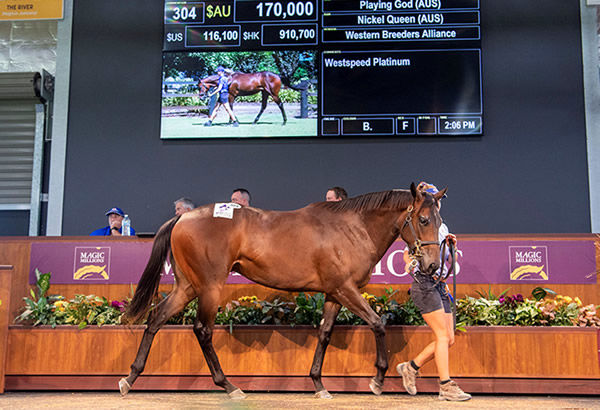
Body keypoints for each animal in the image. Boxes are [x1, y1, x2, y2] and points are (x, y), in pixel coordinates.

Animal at [118, 183, 446, 400]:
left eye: (440, 221)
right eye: (424, 220)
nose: (432, 265)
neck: (351, 228)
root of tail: (183, 217)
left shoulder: (333, 294)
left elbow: (325, 333)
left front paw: (319, 384)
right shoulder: (346, 289)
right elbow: (378, 323)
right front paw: (377, 380)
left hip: (187, 286)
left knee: (156, 319)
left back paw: (130, 377)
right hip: (209, 286)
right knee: (202, 330)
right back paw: (229, 386)